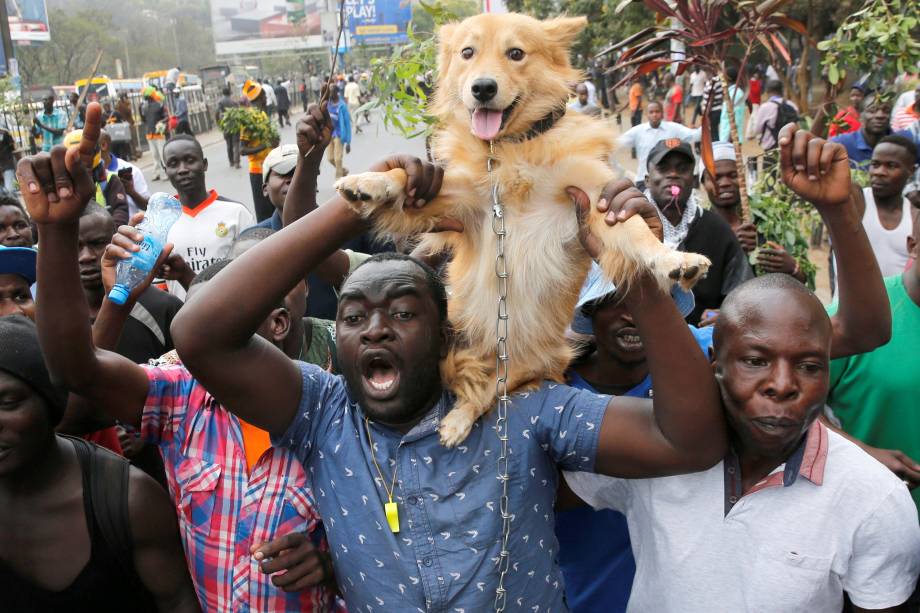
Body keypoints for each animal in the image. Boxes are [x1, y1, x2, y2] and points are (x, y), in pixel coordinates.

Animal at [338, 13, 712, 444]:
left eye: (516, 53)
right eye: (467, 52)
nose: (483, 88)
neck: (513, 148)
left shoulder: (594, 196)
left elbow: (635, 231)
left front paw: (672, 259)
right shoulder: (462, 201)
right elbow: (405, 178)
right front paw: (369, 182)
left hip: (521, 365)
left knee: (489, 391)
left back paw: (458, 420)